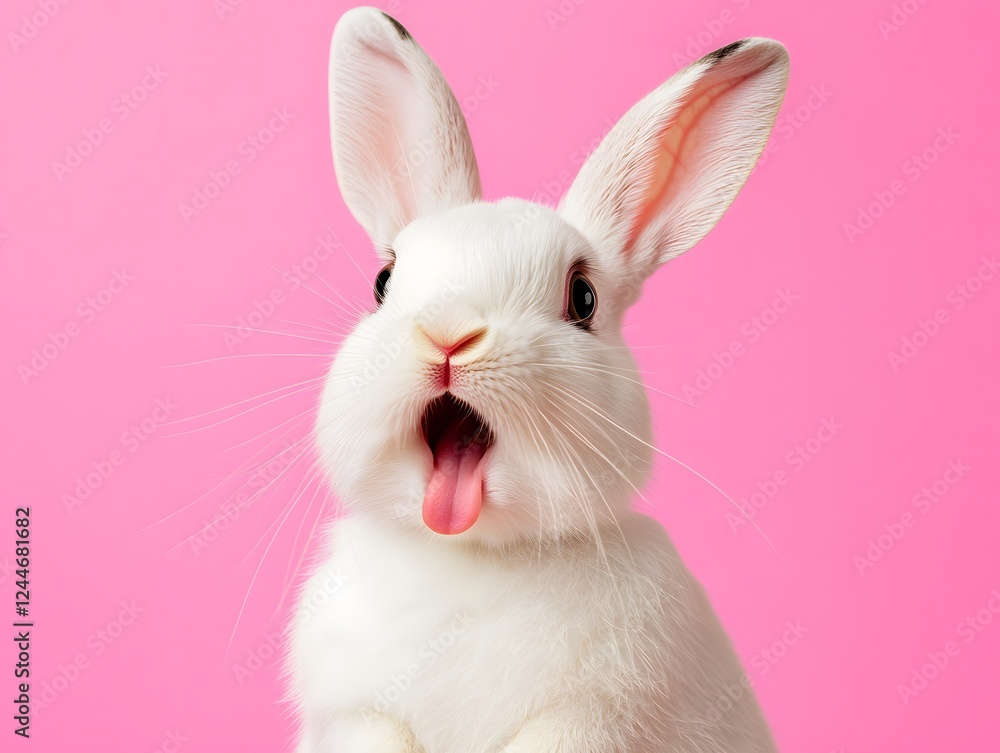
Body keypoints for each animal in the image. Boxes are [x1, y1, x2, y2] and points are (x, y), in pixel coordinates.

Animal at [286, 7, 789, 753]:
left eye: (583, 298)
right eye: (382, 281)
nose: (448, 334)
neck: (472, 554)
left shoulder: (585, 719)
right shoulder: (360, 715)